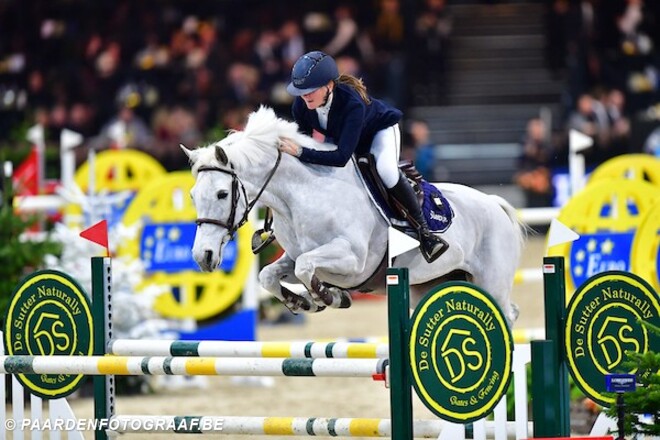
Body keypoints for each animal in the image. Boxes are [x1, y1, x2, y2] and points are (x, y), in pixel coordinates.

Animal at [182, 106, 526, 325]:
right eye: (192, 196)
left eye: (222, 194)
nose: (203, 257)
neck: (302, 195)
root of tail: (494, 203)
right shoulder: (293, 257)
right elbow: (269, 274)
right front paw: (301, 302)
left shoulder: (352, 260)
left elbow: (308, 269)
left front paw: (331, 297)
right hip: (430, 283)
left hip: (491, 281)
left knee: (506, 313)